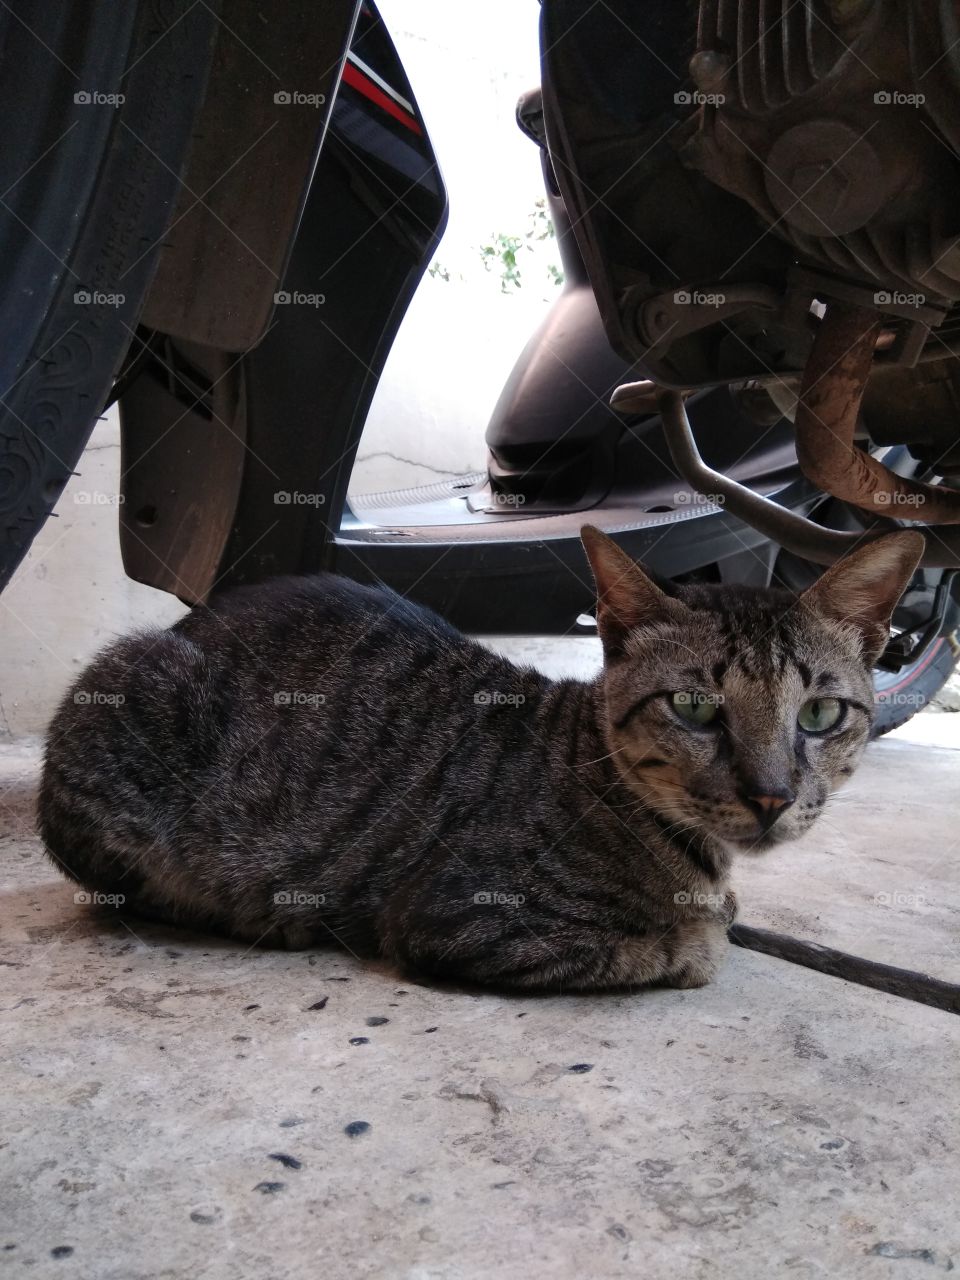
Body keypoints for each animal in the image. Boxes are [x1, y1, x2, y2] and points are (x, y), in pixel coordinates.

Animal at [39, 524, 926, 993]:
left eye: (819, 714)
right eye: (695, 708)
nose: (772, 795)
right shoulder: (459, 918)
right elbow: (675, 948)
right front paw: (697, 935)